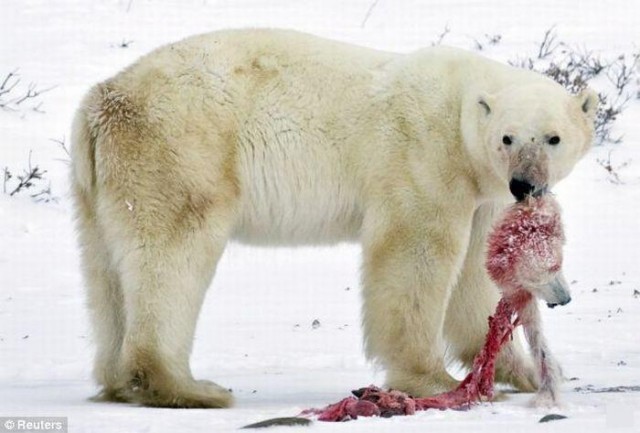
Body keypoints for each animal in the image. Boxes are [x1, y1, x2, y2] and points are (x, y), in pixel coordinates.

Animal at [70, 28, 596, 406]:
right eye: (508, 137)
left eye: (553, 137)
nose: (525, 184)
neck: (461, 110)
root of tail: (101, 99)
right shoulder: (424, 157)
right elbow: (415, 254)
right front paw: (432, 379)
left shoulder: (482, 193)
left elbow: (474, 276)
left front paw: (523, 372)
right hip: (181, 150)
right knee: (172, 256)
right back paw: (188, 388)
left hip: (100, 184)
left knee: (106, 272)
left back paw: (119, 381)